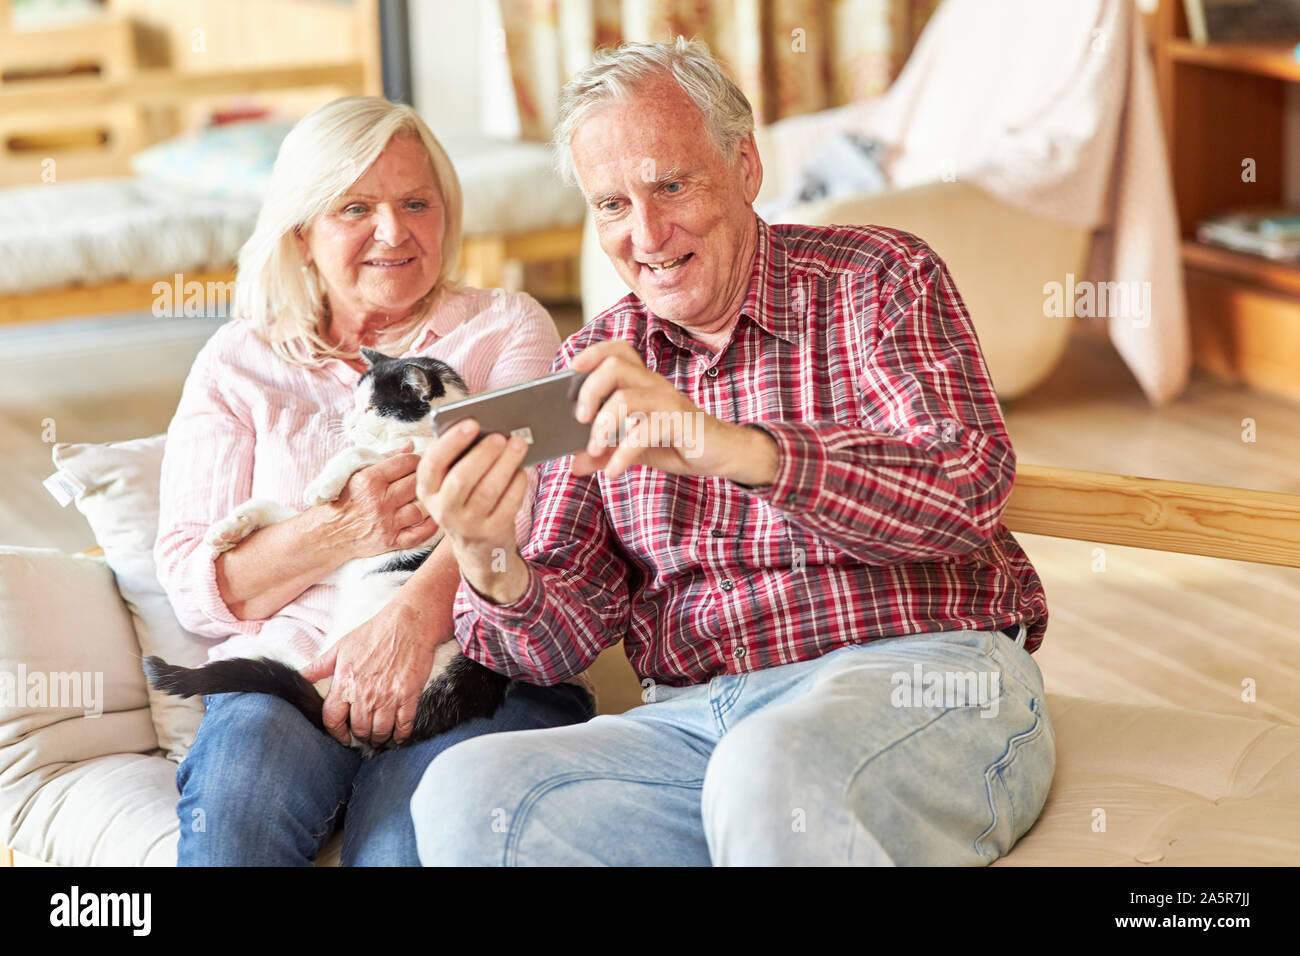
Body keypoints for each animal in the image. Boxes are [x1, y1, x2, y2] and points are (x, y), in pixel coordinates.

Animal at [142, 348, 506, 749]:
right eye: (355, 403)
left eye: (371, 408)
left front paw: (324, 482)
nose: (348, 424)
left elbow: (359, 452)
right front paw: (229, 528)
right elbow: (279, 509)